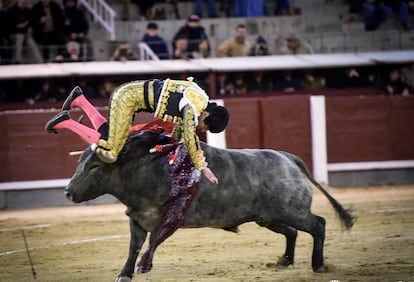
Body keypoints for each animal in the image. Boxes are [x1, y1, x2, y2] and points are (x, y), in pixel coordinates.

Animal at [64, 129, 356, 280]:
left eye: (94, 166)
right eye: (79, 163)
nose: (68, 191)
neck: (147, 168)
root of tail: (286, 158)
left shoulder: (168, 217)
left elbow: (151, 242)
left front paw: (142, 267)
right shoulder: (137, 218)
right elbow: (134, 246)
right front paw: (125, 273)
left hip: (292, 211)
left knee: (317, 225)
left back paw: (318, 265)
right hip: (269, 217)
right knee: (292, 232)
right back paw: (284, 262)